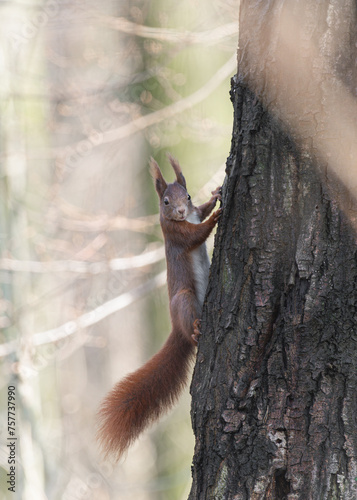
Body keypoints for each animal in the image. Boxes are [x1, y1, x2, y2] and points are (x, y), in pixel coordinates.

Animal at [96, 157, 221, 460]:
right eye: (165, 201)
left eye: (187, 196)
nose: (180, 211)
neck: (183, 219)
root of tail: (176, 329)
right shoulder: (174, 232)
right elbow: (195, 236)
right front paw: (215, 218)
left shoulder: (193, 213)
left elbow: (202, 211)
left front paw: (216, 195)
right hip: (184, 300)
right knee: (190, 329)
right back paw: (196, 330)